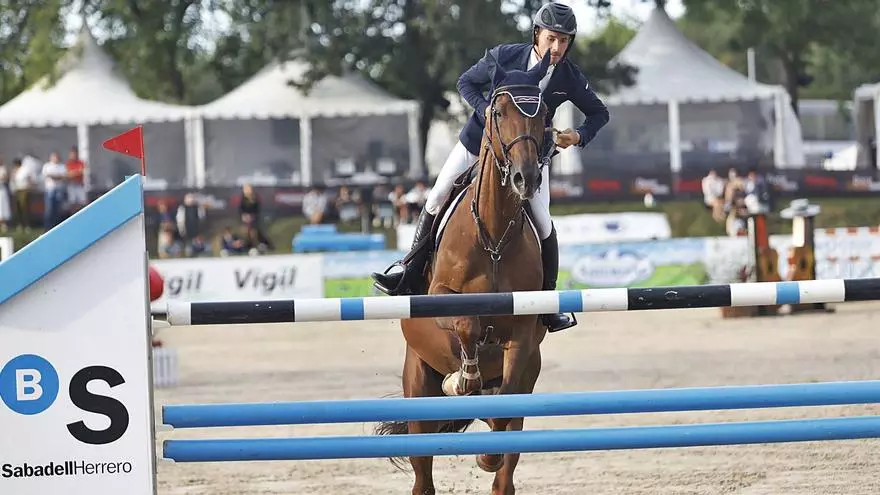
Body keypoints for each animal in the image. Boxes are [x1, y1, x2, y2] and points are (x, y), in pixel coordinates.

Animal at [375, 50, 554, 495]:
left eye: (543, 113)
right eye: (497, 111)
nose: (527, 178)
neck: (492, 235)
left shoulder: (522, 334)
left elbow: (504, 402)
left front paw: (488, 451)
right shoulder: (441, 300)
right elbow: (467, 324)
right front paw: (463, 377)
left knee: (505, 457)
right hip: (418, 383)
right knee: (423, 473)